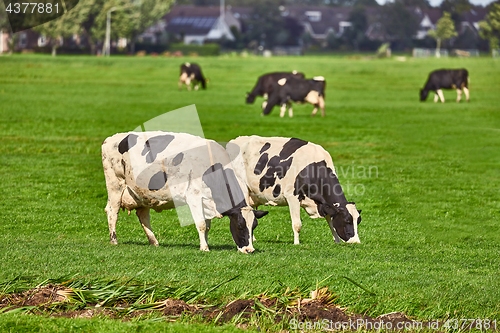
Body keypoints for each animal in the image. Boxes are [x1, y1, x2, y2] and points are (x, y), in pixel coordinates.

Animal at [99, 131, 268, 253]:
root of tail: (111, 139)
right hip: (115, 185)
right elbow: (201, 224)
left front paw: (206, 243)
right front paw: (204, 248)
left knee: (143, 216)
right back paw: (114, 240)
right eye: (240, 226)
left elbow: (207, 226)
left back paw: (154, 242)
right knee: (112, 211)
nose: (250, 250)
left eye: (254, 226)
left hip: (142, 194)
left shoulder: (207, 201)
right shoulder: (194, 196)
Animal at [228, 134, 364, 245]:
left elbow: (330, 221)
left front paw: (336, 240)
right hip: (241, 186)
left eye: (358, 221)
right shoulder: (292, 196)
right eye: (347, 221)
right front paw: (297, 243)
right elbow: (297, 224)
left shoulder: (325, 205)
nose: (356, 242)